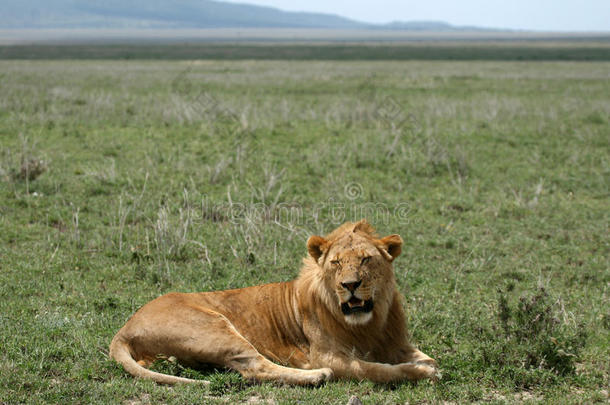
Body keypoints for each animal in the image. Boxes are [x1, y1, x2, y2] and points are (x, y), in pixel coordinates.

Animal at [110, 219, 436, 384]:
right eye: (336, 263)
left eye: (366, 259)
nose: (350, 285)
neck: (369, 323)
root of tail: (124, 328)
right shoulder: (327, 354)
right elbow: (374, 370)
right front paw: (420, 372)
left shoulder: (395, 343)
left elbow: (426, 357)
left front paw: (426, 364)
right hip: (214, 327)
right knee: (255, 367)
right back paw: (317, 376)